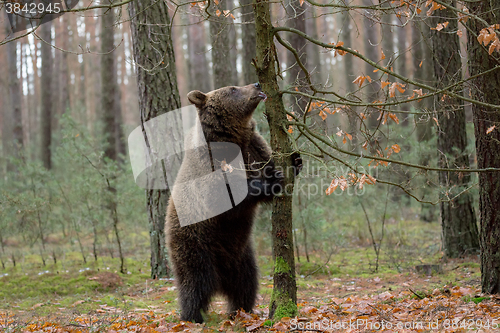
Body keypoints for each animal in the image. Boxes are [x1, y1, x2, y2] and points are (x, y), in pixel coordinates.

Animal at [167, 82, 300, 322]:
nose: (256, 84)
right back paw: (192, 315)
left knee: (246, 283)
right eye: (232, 89)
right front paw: (272, 182)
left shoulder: (254, 149)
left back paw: (240, 310)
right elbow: (226, 194)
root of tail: (221, 278)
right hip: (195, 242)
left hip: (242, 254)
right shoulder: (210, 165)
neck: (233, 138)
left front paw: (295, 160)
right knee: (194, 281)